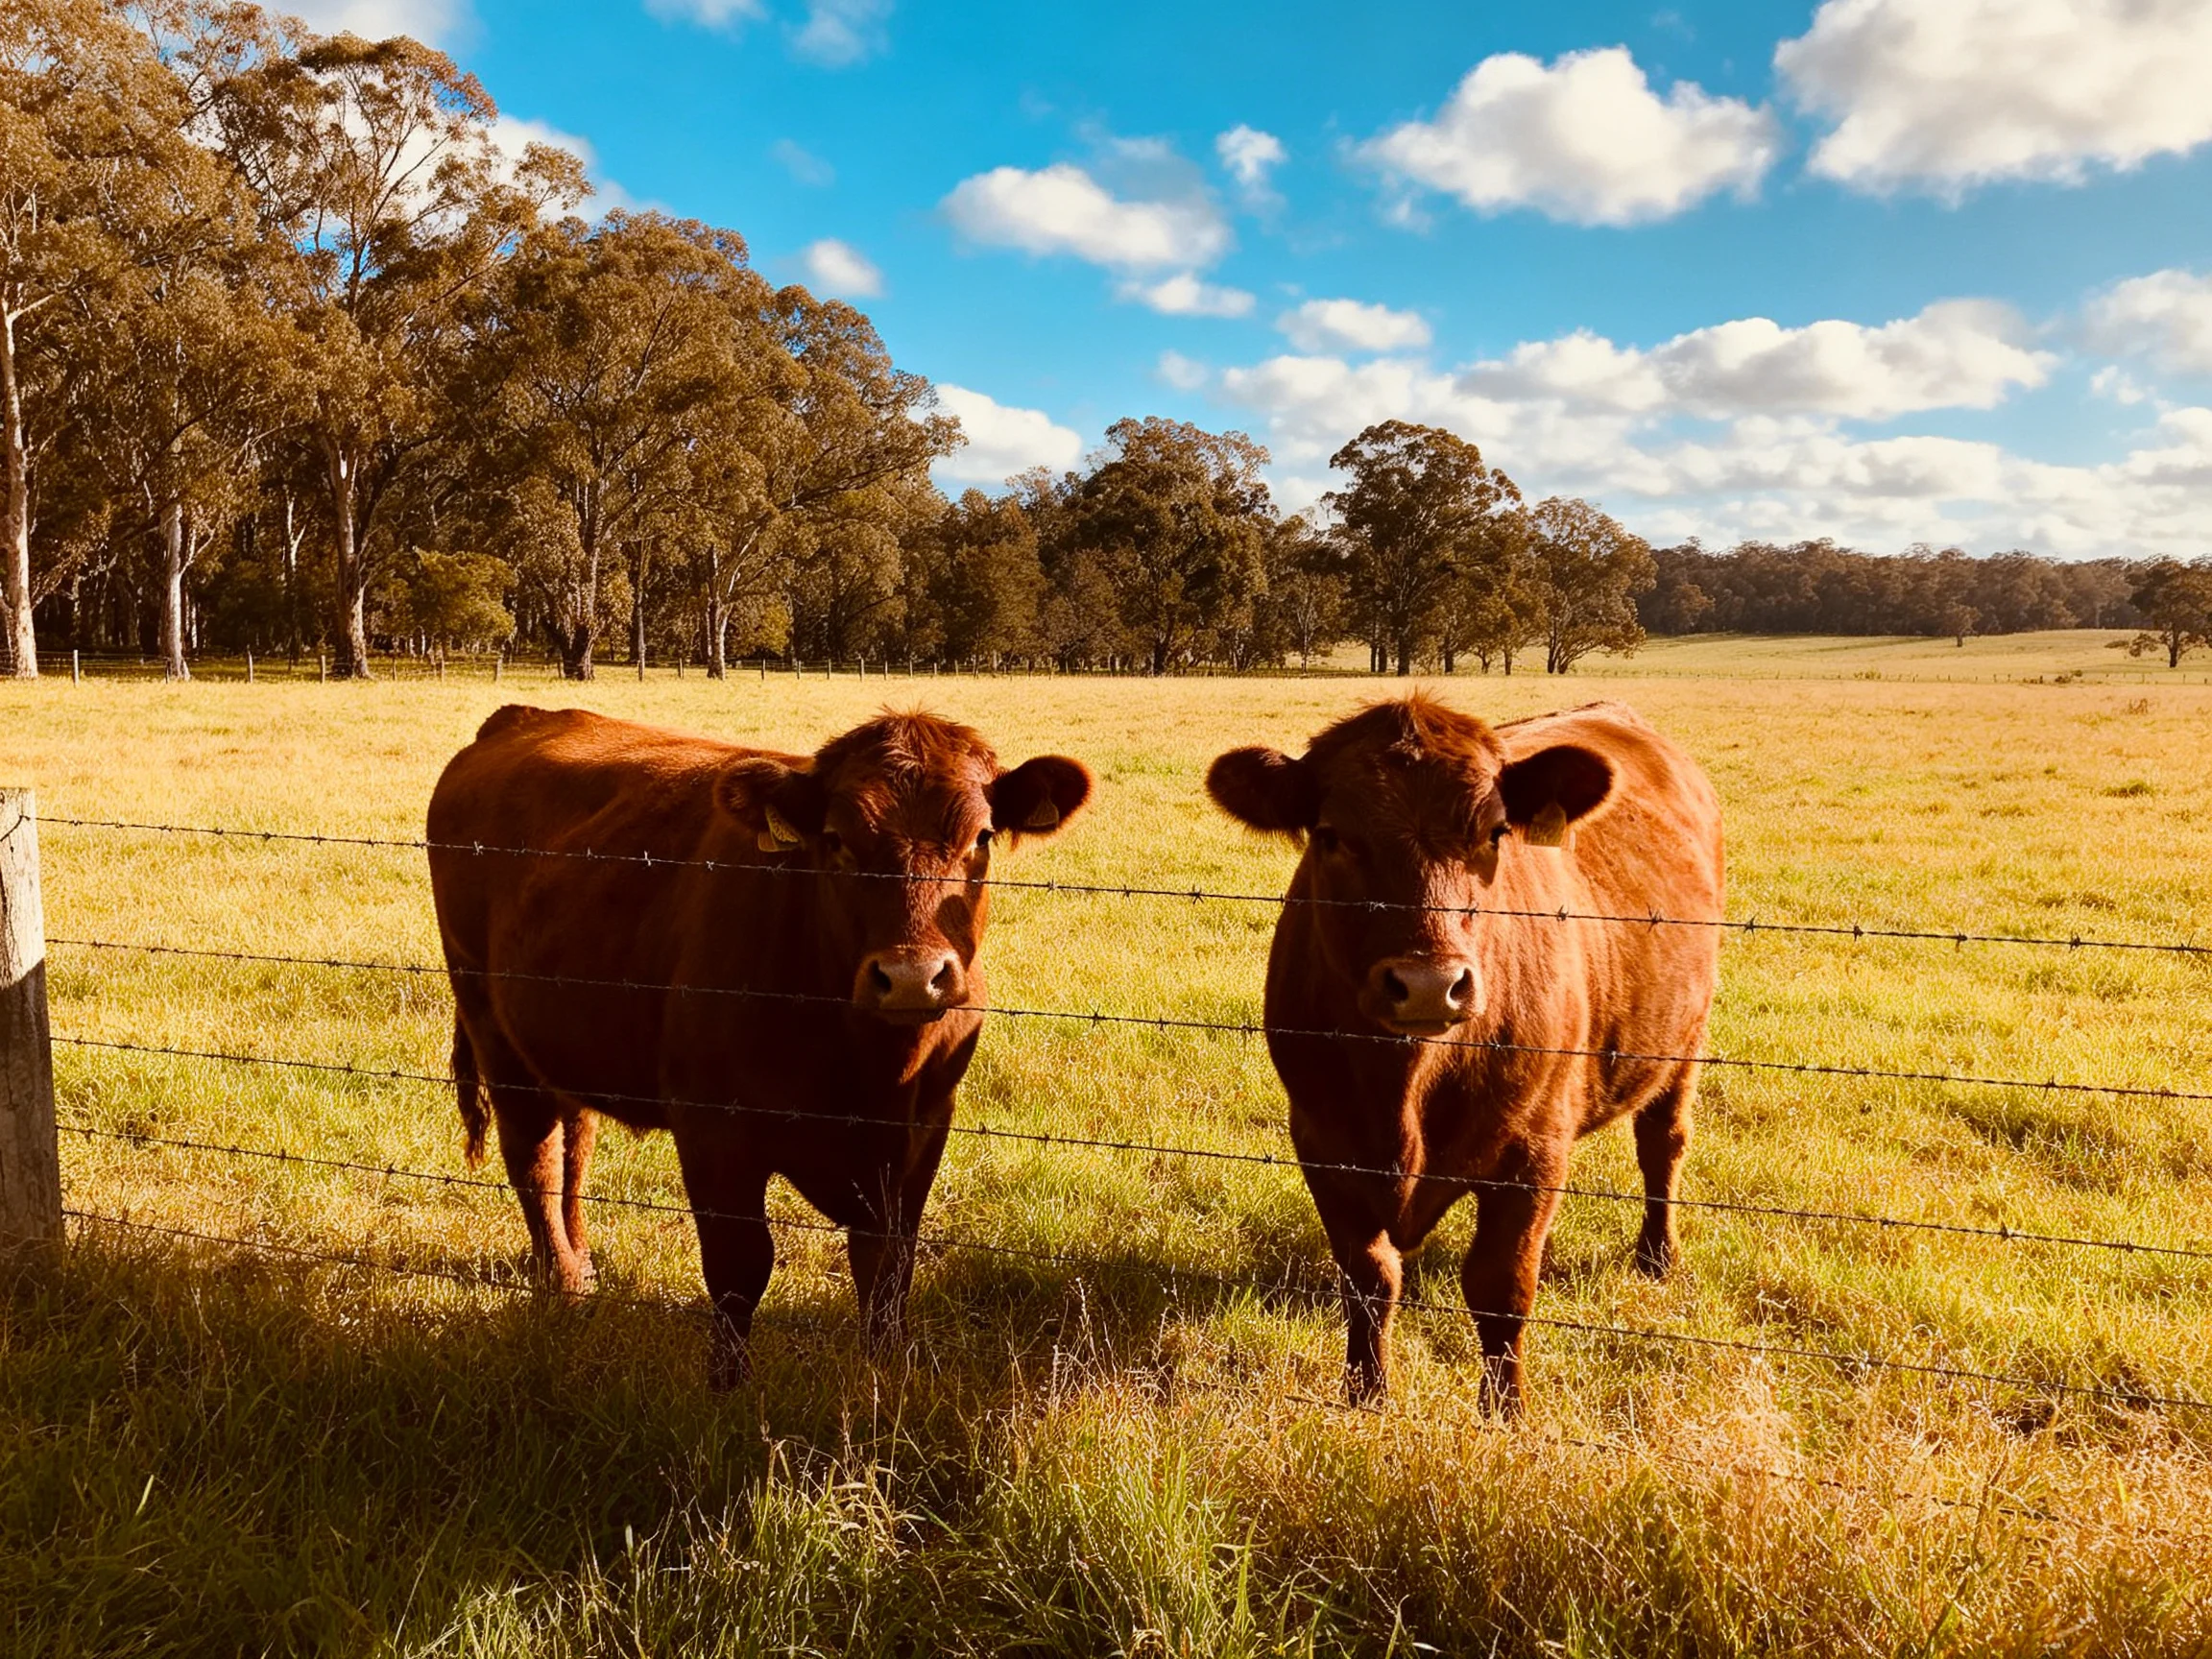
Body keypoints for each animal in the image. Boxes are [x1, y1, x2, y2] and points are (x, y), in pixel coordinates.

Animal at [426, 705, 1093, 1386]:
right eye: (837, 839)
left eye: (981, 837)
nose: (911, 976)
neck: (870, 1074)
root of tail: (521, 718)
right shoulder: (714, 1130)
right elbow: (740, 1267)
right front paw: (727, 1388)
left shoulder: (926, 1124)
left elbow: (888, 1266)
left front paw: (887, 1373)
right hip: (488, 1018)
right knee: (532, 1155)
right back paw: (561, 1281)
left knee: (574, 1145)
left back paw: (580, 1259)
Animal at [1205, 694, 1722, 1413]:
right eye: (1332, 835)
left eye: (1496, 833)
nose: (1428, 982)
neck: (1404, 1091)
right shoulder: (1321, 1140)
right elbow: (1369, 1277)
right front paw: (1366, 1395)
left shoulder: (1534, 1152)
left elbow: (1500, 1287)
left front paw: (1503, 1412)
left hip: (1684, 1041)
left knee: (1662, 1145)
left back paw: (1656, 1257)